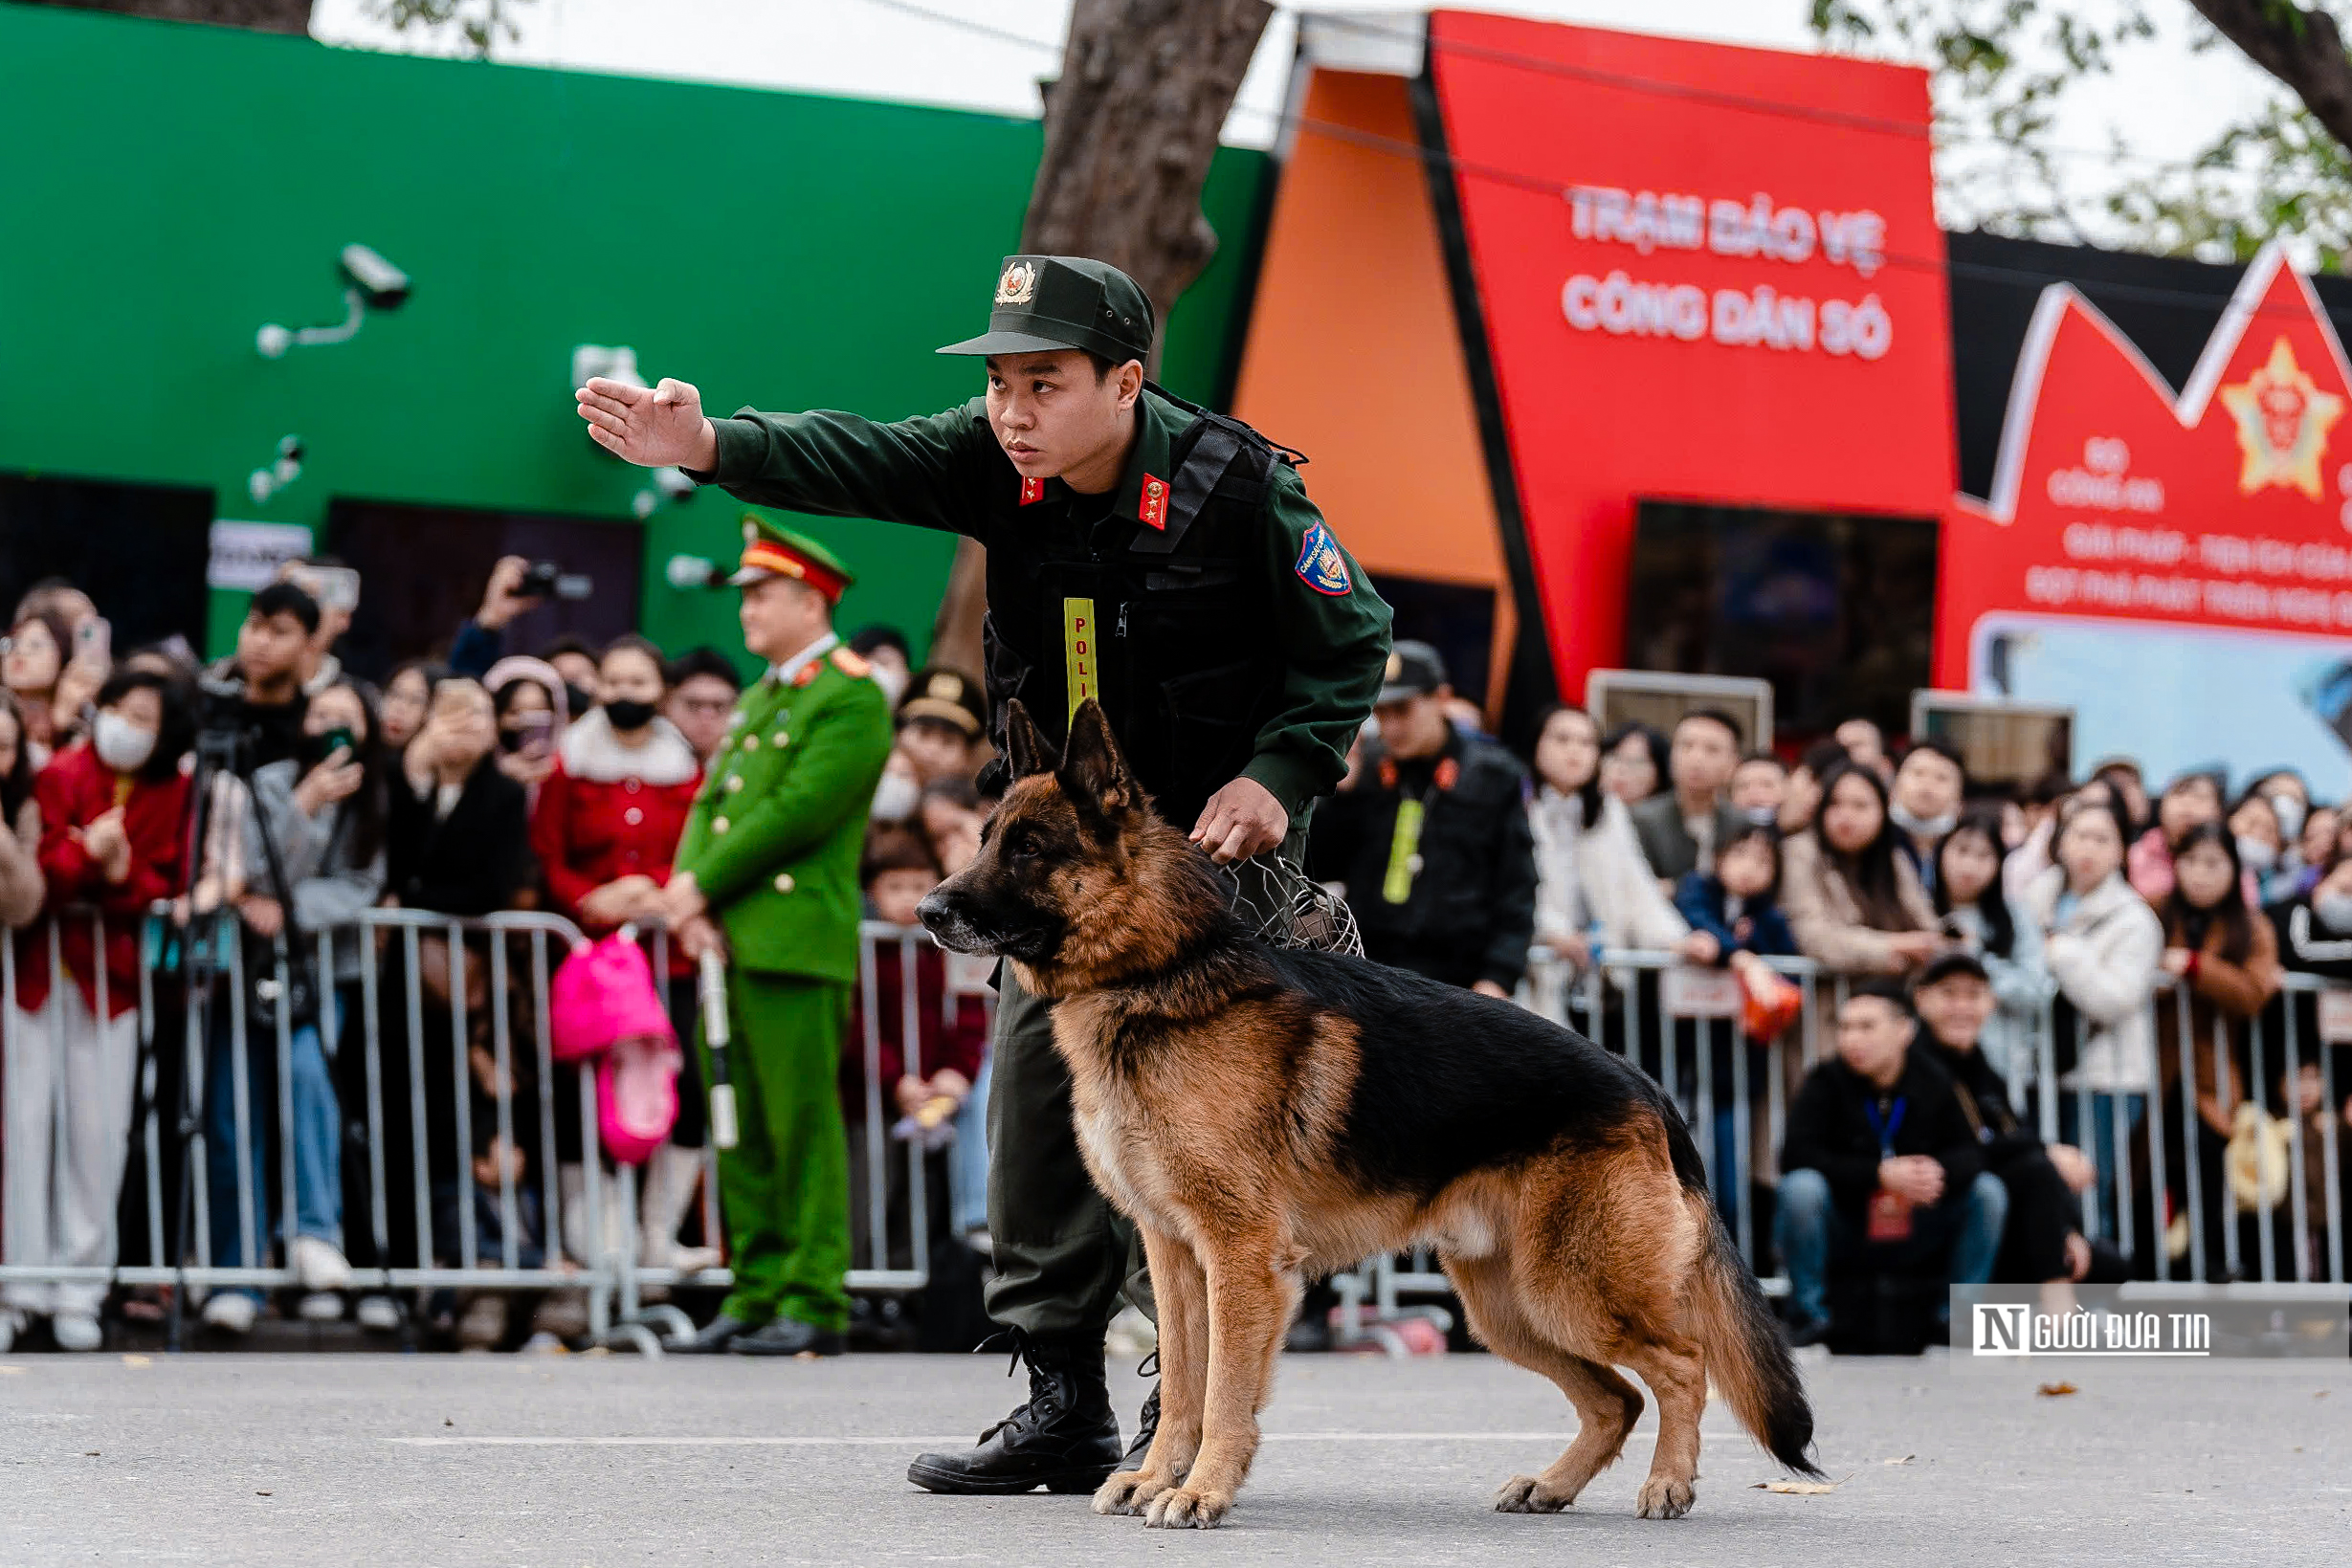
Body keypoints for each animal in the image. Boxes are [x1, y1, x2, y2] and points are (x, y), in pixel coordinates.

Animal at [917, 700, 1815, 1533]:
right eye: (988, 837)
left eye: (1029, 847)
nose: (927, 910)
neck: (1159, 972)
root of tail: (1644, 1083)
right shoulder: (1175, 1256)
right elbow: (1182, 1387)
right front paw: (1152, 1477)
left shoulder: (1239, 1258)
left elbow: (1225, 1390)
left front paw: (1201, 1490)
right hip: (1507, 1310)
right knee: (1614, 1398)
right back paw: (1553, 1484)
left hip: (1571, 1289)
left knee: (1681, 1364)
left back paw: (1669, 1482)